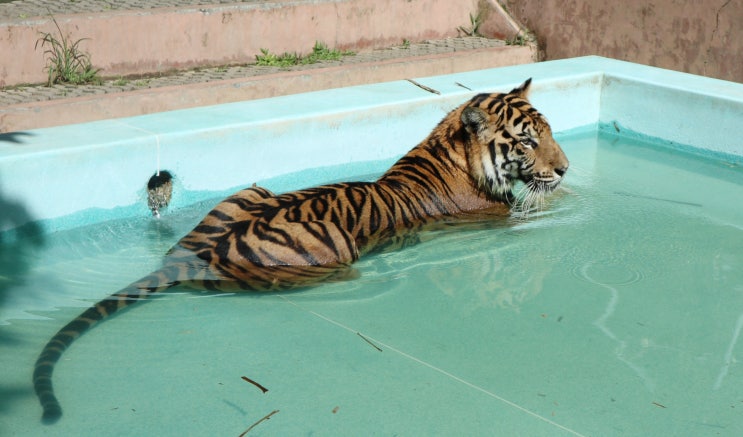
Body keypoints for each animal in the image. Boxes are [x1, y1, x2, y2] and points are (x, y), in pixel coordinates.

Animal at [33, 76, 568, 420]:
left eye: (549, 133)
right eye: (527, 142)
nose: (563, 168)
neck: (453, 148)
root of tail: (194, 254)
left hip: (253, 189)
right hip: (335, 242)